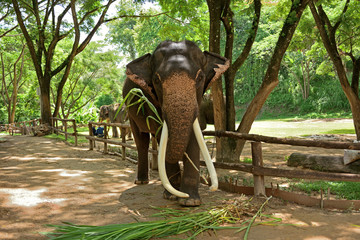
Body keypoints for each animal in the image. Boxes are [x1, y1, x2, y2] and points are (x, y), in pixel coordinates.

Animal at [121, 39, 228, 206]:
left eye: (200, 78)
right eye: (156, 80)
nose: (210, 186)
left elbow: (195, 134)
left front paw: (190, 201)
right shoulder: (152, 101)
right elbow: (161, 132)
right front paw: (172, 196)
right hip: (131, 113)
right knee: (142, 141)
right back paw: (142, 181)